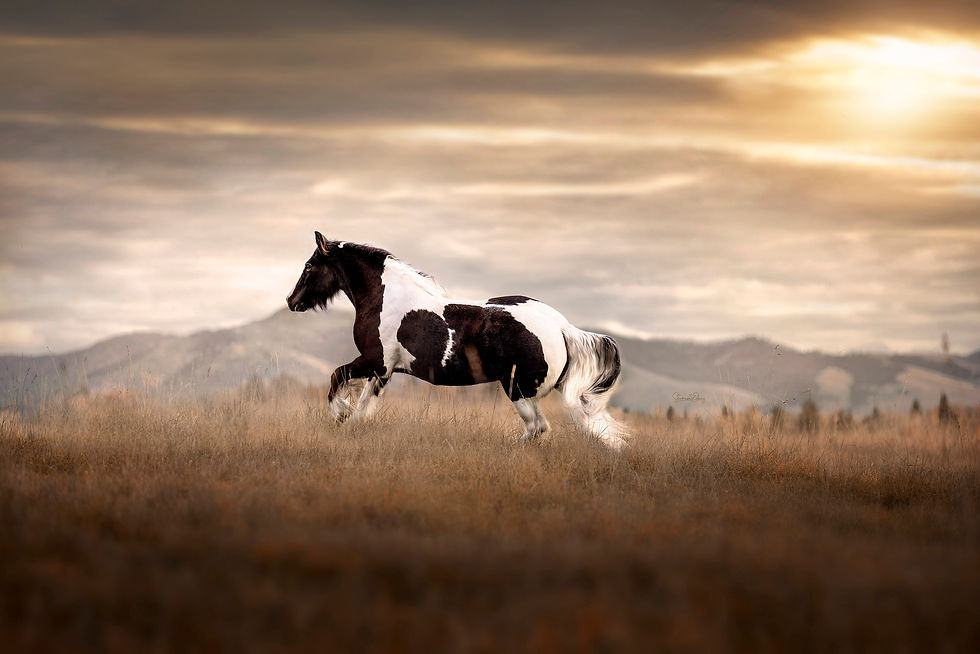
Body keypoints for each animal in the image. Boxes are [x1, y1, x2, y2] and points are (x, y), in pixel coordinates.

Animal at [286, 232, 629, 449]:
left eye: (309, 265)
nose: (292, 301)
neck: (384, 298)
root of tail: (561, 327)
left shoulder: (374, 361)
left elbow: (337, 378)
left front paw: (338, 415)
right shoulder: (383, 371)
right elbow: (363, 406)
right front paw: (349, 423)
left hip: (517, 390)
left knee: (538, 429)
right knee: (541, 430)